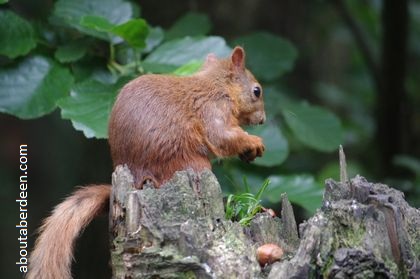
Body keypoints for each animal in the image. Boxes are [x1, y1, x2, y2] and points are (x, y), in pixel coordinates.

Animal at [26, 47, 264, 278]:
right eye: (257, 91)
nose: (262, 120)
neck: (217, 83)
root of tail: (133, 173)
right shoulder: (214, 108)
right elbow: (222, 136)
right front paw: (254, 142)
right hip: (188, 163)